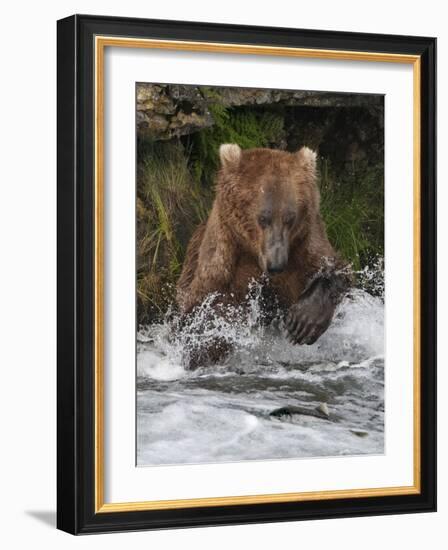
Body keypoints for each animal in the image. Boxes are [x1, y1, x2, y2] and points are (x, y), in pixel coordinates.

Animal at [175, 144, 350, 364]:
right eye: (263, 218)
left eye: (290, 218)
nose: (276, 264)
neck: (253, 253)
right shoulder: (221, 263)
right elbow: (201, 311)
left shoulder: (305, 245)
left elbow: (333, 269)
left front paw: (303, 322)